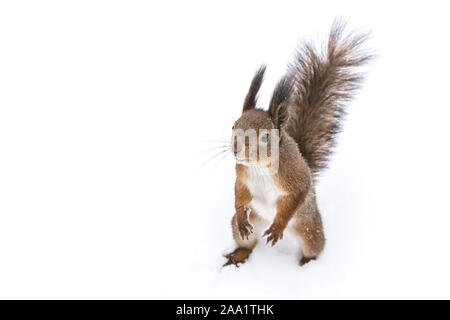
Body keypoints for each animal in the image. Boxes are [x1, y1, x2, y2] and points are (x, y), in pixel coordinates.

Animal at [223, 21, 370, 268]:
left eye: (265, 137)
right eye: (234, 126)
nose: (236, 149)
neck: (259, 167)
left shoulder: (294, 176)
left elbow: (295, 197)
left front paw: (277, 228)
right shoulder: (242, 174)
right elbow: (240, 194)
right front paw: (242, 217)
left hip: (309, 227)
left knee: (313, 246)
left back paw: (306, 264)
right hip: (251, 222)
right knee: (247, 242)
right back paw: (239, 253)